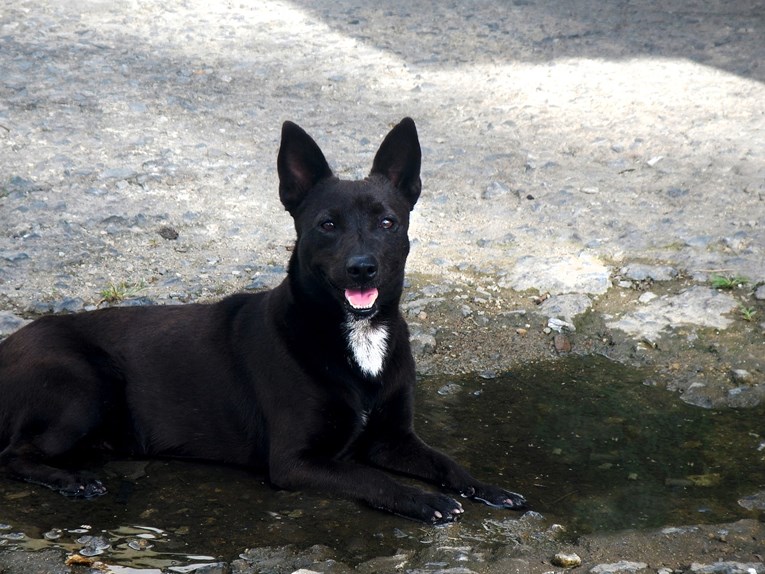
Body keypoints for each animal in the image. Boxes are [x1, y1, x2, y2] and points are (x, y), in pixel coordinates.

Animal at [0, 119, 524, 524]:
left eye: (387, 222)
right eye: (327, 224)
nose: (362, 268)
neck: (354, 335)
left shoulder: (394, 439)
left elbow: (447, 462)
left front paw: (489, 489)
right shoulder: (297, 461)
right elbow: (373, 478)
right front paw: (424, 500)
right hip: (86, 386)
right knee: (13, 455)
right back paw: (71, 479)